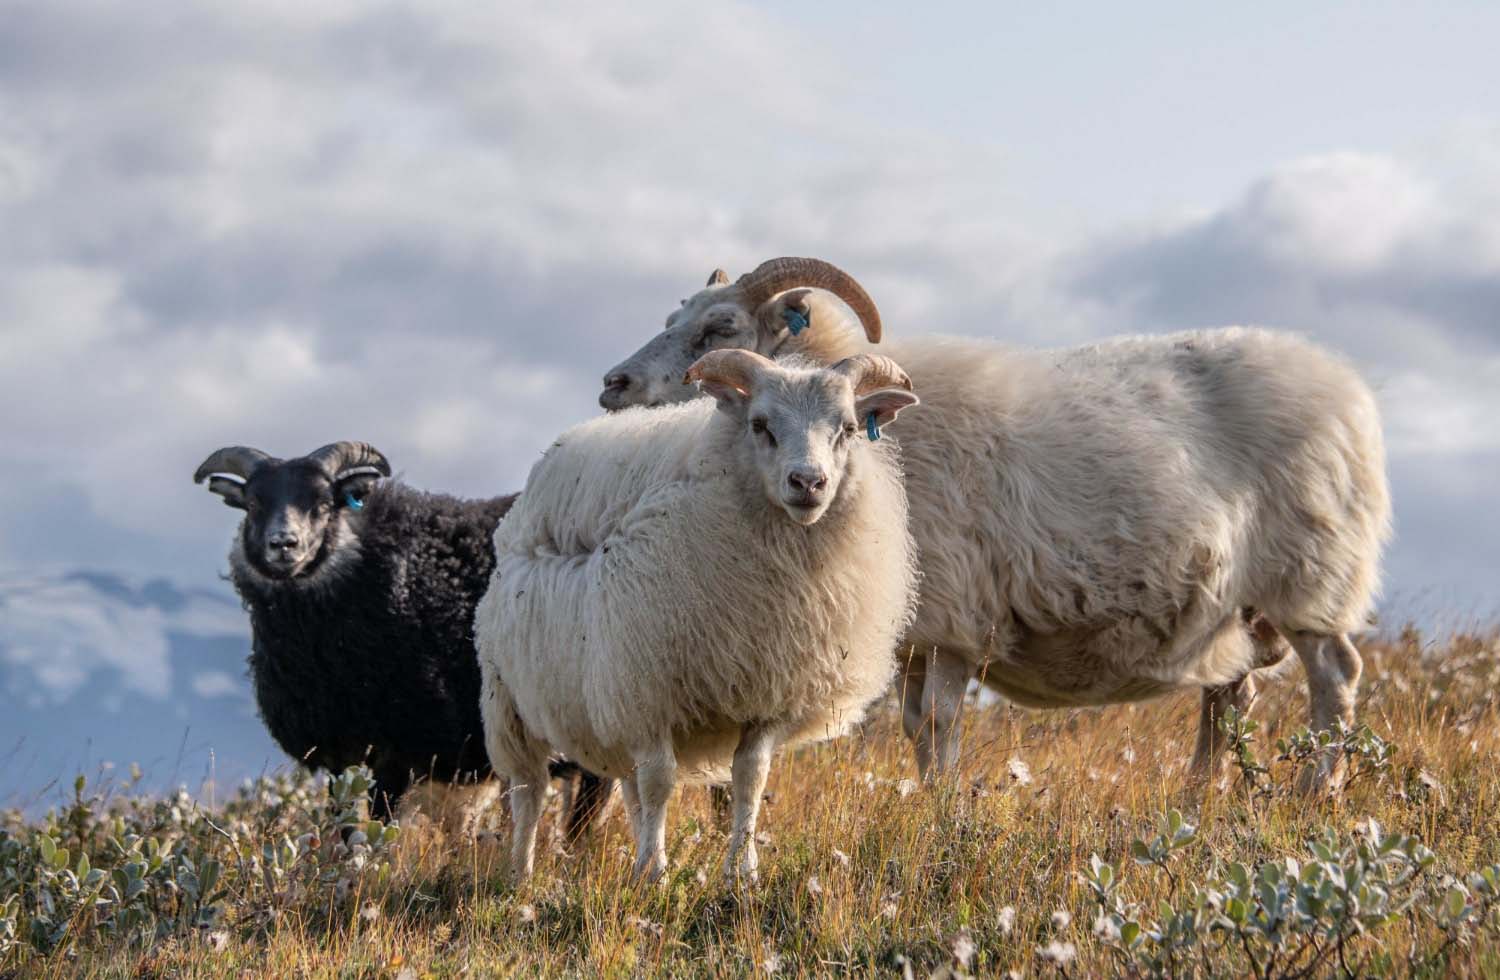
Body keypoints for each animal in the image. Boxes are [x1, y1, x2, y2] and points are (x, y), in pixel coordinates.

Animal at [193, 438, 609, 828]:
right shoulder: (338, 751)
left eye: (324, 503)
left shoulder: (399, 749)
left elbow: (378, 824)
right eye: (253, 503)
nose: (283, 543)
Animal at [474, 349, 918, 876]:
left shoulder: (768, 688)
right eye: (759, 424)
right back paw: (520, 874)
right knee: (530, 790)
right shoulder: (647, 689)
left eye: (848, 428)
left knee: (627, 784)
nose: (809, 482)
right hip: (510, 701)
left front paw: (741, 870)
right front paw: (655, 873)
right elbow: (661, 782)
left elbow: (750, 777)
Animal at [591, 259, 1386, 792]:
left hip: (1311, 576)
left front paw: (943, 813)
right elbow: (915, 727)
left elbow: (939, 725)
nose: (612, 384)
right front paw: (928, 804)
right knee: (1230, 700)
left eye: (719, 328)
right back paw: (1201, 795)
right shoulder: (913, 630)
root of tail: (1347, 388)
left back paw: (1314, 791)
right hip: (1238, 609)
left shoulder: (953, 618)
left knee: (1335, 682)